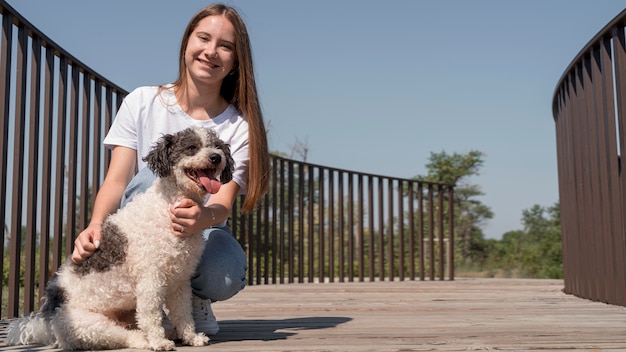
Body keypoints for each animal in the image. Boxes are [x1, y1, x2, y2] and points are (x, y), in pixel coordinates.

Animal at [6, 126, 235, 350]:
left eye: (217, 146)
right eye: (192, 147)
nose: (216, 157)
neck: (167, 206)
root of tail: (47, 326)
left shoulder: (180, 280)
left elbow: (183, 313)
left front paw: (192, 338)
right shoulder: (150, 278)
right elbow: (151, 313)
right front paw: (158, 341)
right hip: (88, 325)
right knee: (123, 336)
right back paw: (146, 340)